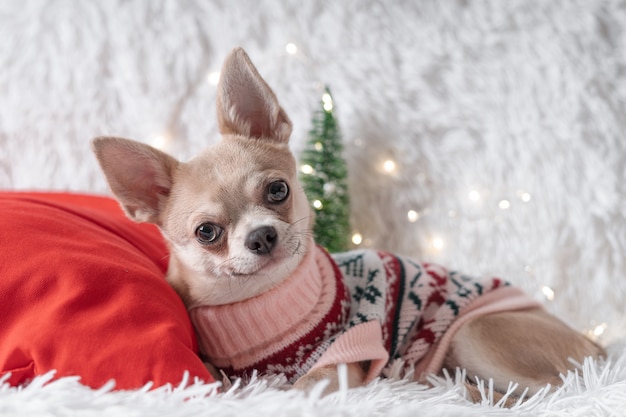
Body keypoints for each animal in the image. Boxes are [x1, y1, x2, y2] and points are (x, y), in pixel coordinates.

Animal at [91, 47, 600, 402]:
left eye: (277, 190)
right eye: (206, 233)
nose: (262, 235)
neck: (257, 307)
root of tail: (596, 349)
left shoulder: (341, 360)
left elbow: (296, 390)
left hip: (474, 334)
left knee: (556, 393)